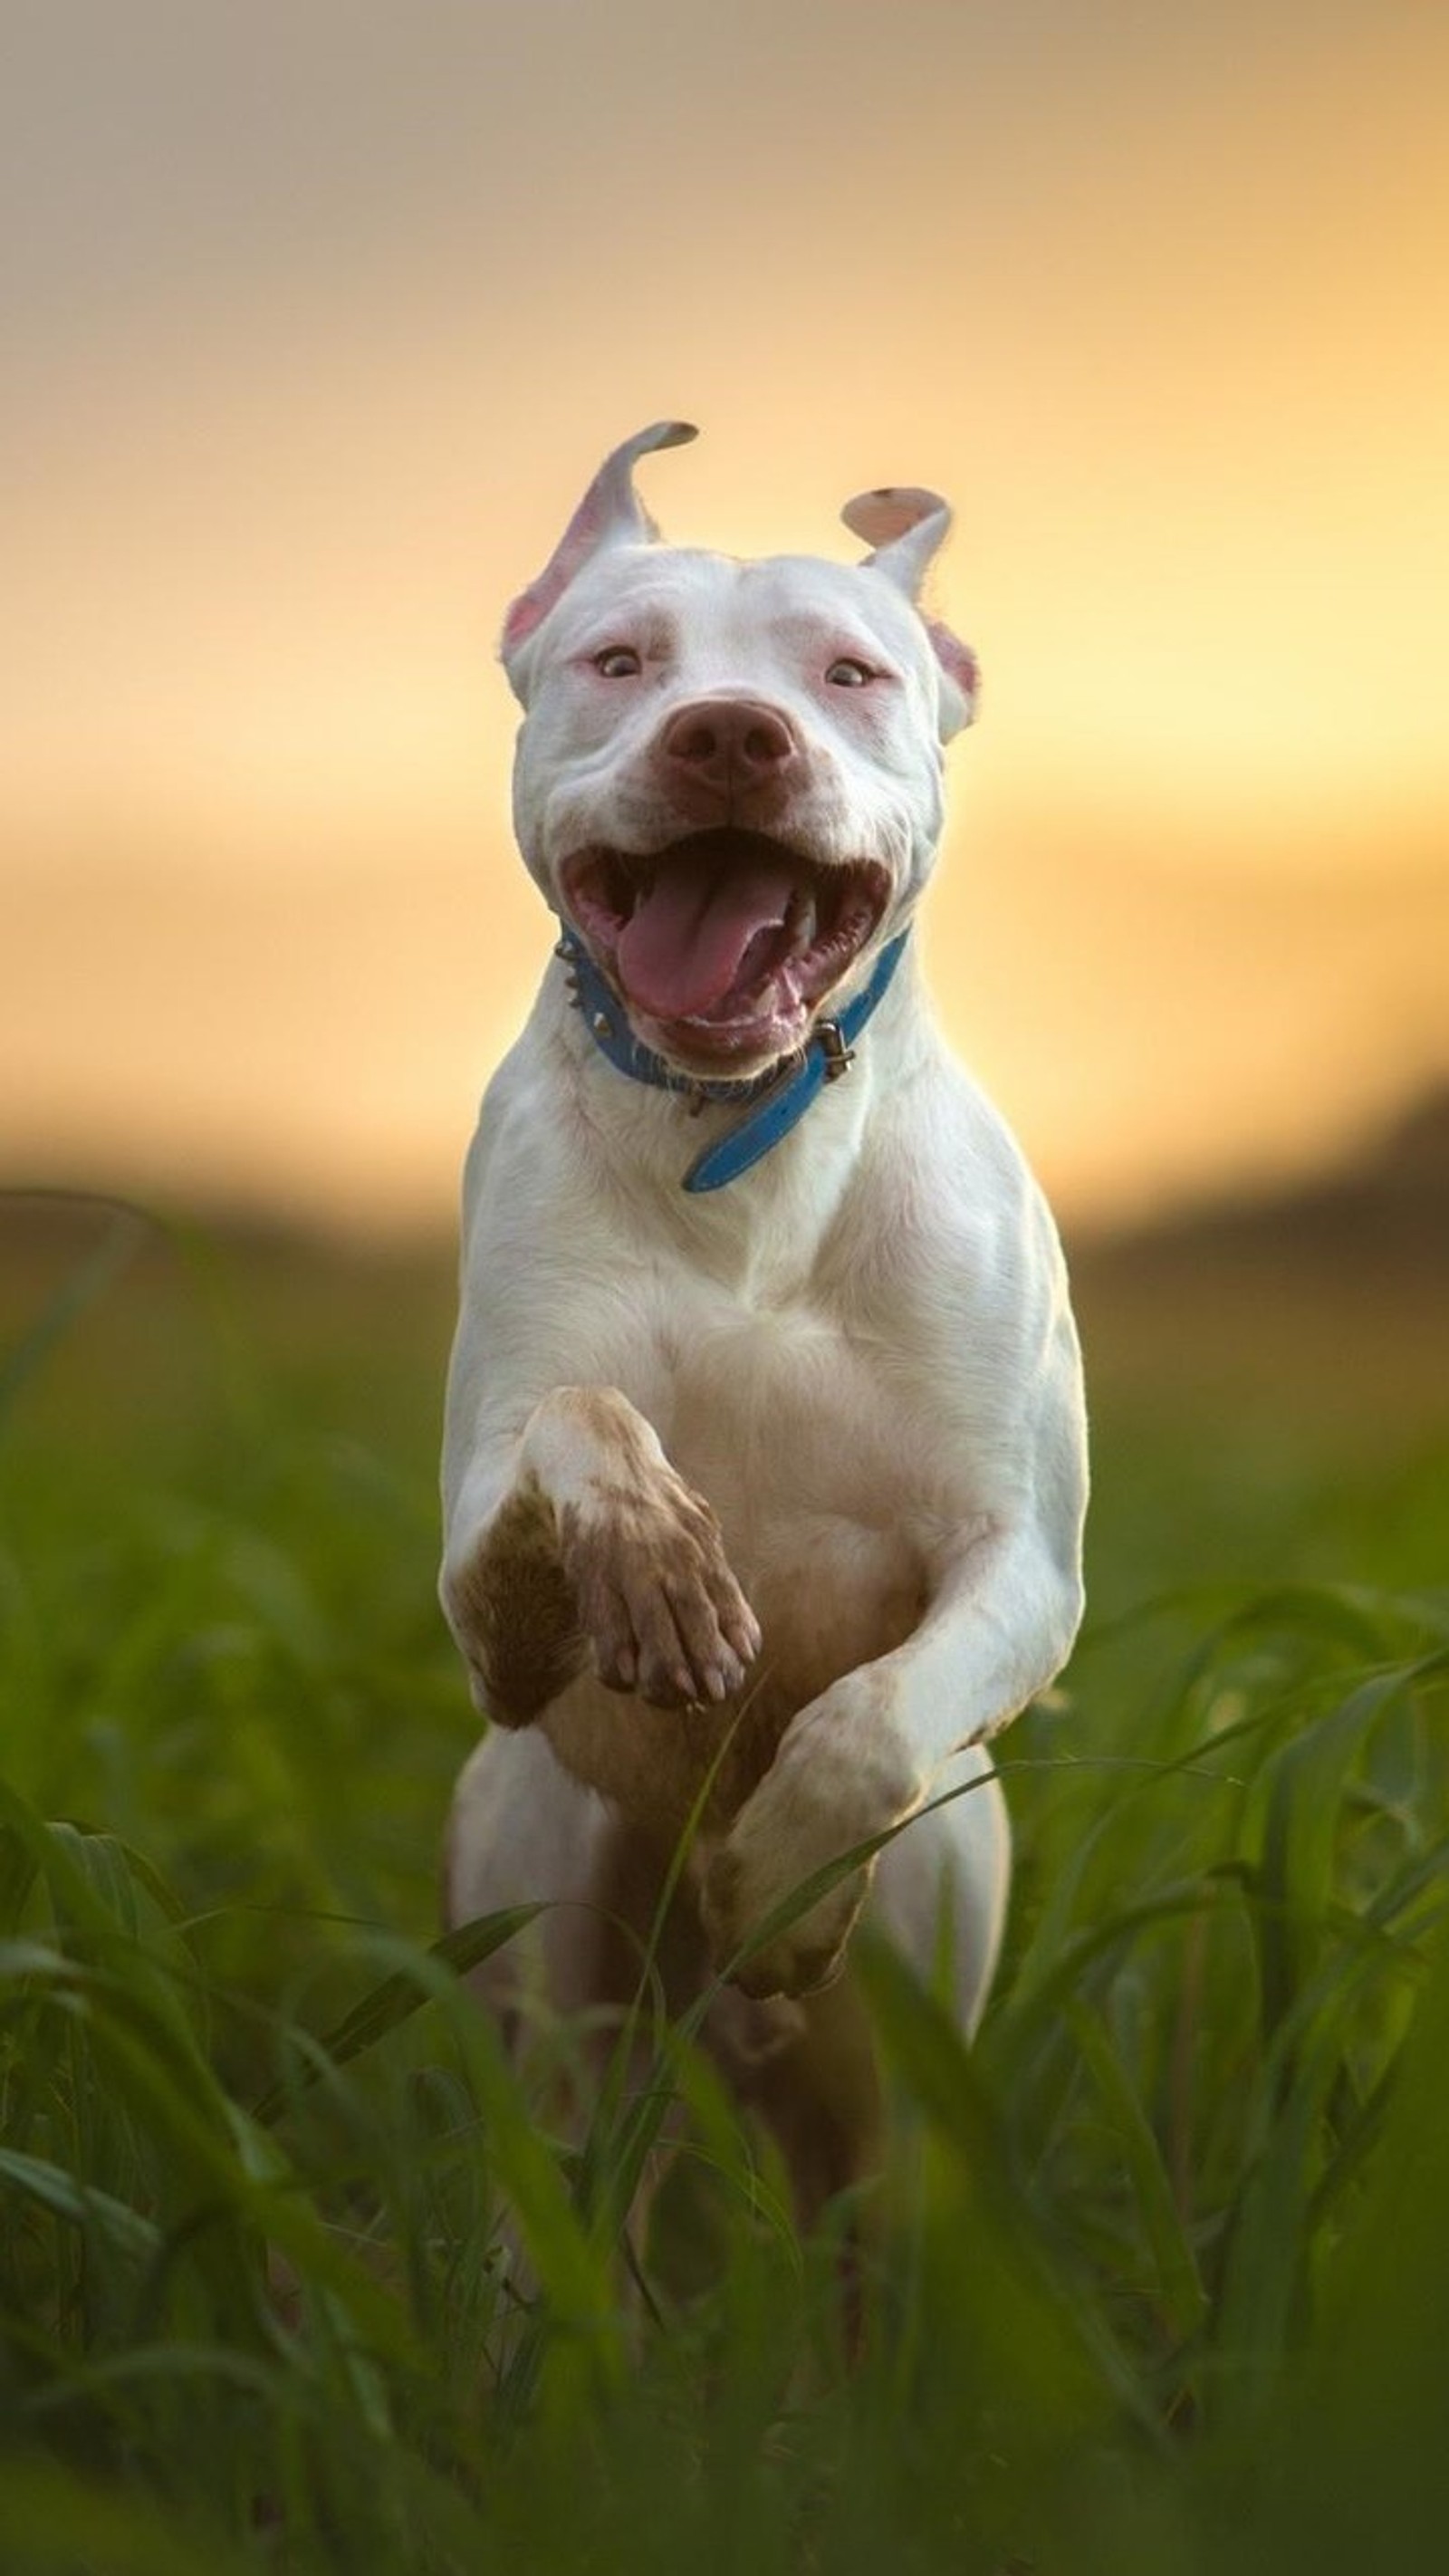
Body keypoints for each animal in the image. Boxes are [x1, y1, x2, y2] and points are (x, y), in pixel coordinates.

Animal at [442, 432, 1090, 2205]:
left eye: (850, 673)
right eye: (619, 660)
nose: (731, 732)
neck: (745, 1136)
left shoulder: (1026, 1564)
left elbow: (868, 1718)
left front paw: (784, 1870)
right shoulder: (474, 1572)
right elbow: (581, 1421)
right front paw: (656, 1559)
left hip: (913, 2042)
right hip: (542, 1929)